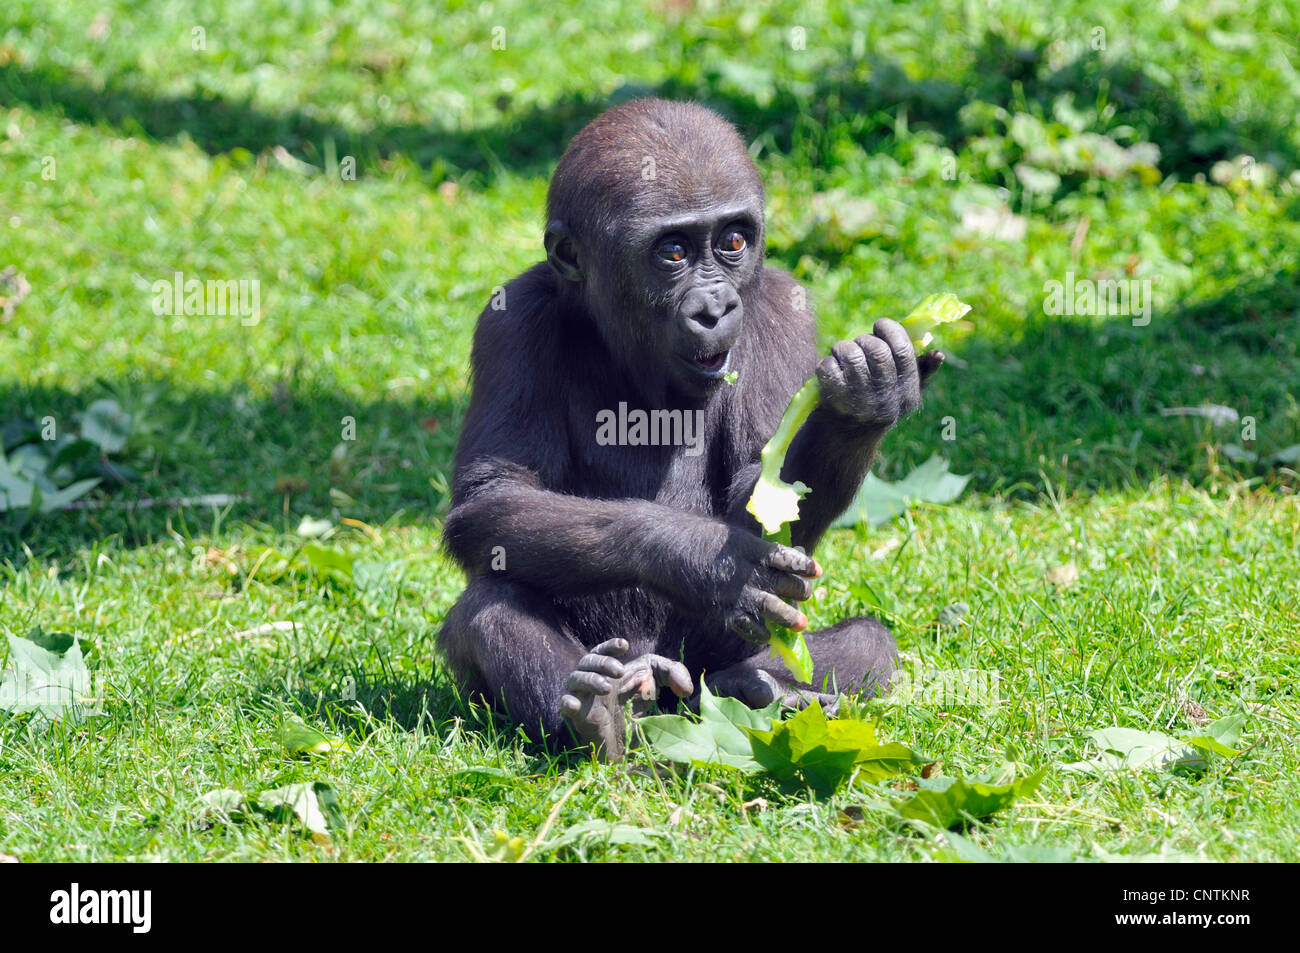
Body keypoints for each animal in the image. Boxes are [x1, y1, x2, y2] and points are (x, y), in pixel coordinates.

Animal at [439, 98, 946, 759]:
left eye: (732, 240)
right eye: (673, 252)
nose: (715, 308)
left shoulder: (783, 306)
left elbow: (766, 494)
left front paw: (858, 406)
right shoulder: (512, 318)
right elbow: (494, 496)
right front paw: (704, 562)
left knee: (867, 644)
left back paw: (762, 691)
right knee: (492, 607)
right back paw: (600, 714)